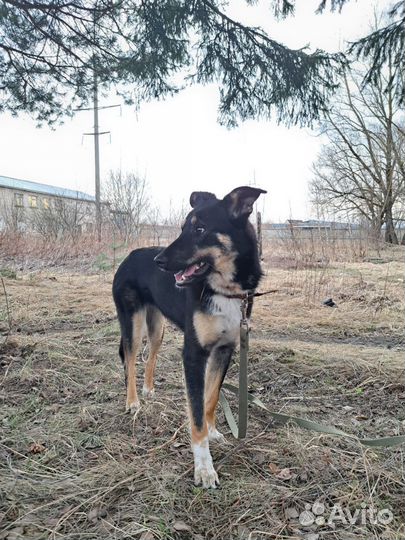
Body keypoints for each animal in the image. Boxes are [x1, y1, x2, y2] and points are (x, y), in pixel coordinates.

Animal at [112, 187, 266, 490]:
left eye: (200, 229)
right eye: (183, 228)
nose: (159, 262)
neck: (225, 290)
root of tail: (130, 256)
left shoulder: (224, 350)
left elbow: (211, 397)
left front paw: (213, 431)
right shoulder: (193, 354)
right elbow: (195, 412)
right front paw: (204, 467)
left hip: (157, 328)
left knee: (150, 356)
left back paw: (148, 389)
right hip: (132, 324)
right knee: (130, 360)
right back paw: (132, 401)